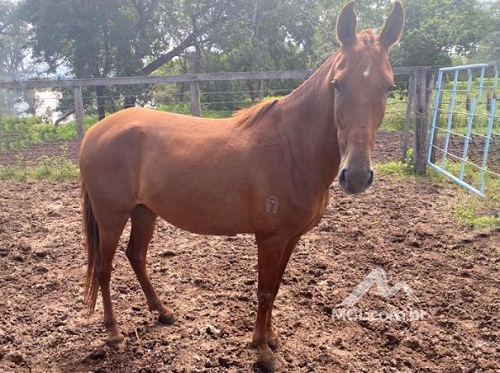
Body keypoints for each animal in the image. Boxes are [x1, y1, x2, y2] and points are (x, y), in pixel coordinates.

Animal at [80, 2, 404, 370]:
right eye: (338, 84)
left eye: (388, 87)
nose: (357, 175)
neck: (292, 148)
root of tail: (95, 132)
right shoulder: (270, 238)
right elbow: (264, 291)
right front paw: (262, 349)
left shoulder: (291, 237)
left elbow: (275, 288)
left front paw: (272, 338)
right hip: (111, 216)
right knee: (104, 269)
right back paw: (114, 334)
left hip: (144, 211)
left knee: (136, 256)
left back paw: (162, 311)